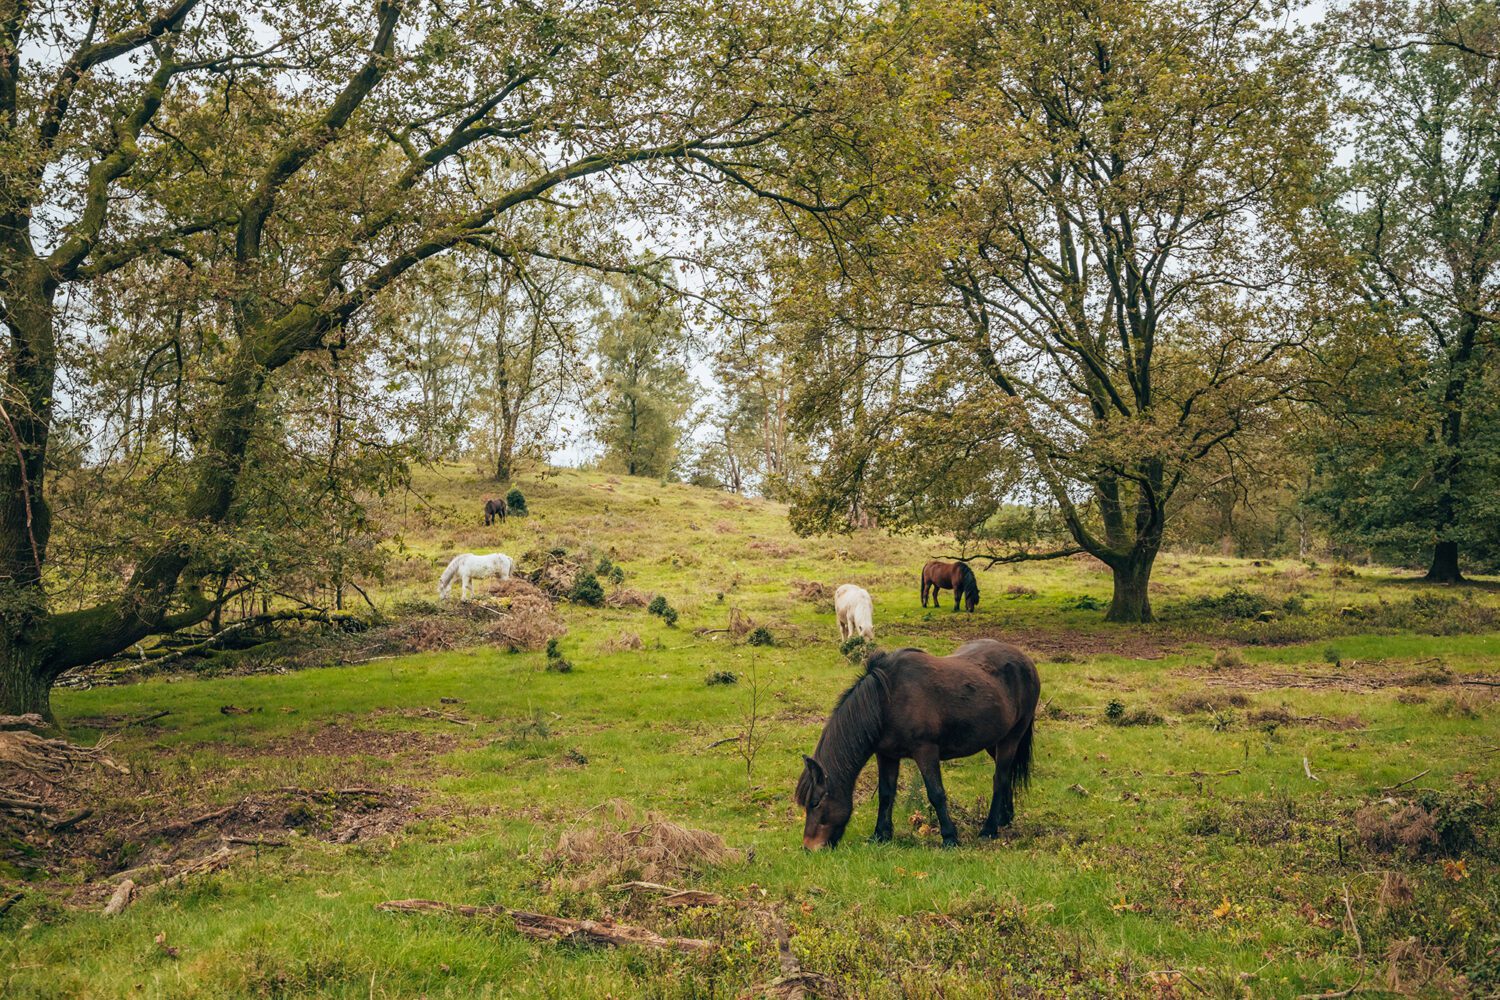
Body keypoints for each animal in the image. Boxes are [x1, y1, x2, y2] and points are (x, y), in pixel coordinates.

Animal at [798, 641, 1044, 851]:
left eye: (815, 803)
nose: (808, 847)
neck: (886, 700)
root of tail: (1026, 661)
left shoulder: (926, 751)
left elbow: (936, 793)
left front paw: (949, 837)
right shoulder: (886, 755)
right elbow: (886, 794)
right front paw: (880, 834)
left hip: (1011, 738)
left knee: (999, 779)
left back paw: (989, 828)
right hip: (994, 742)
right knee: (1006, 775)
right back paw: (1005, 818)